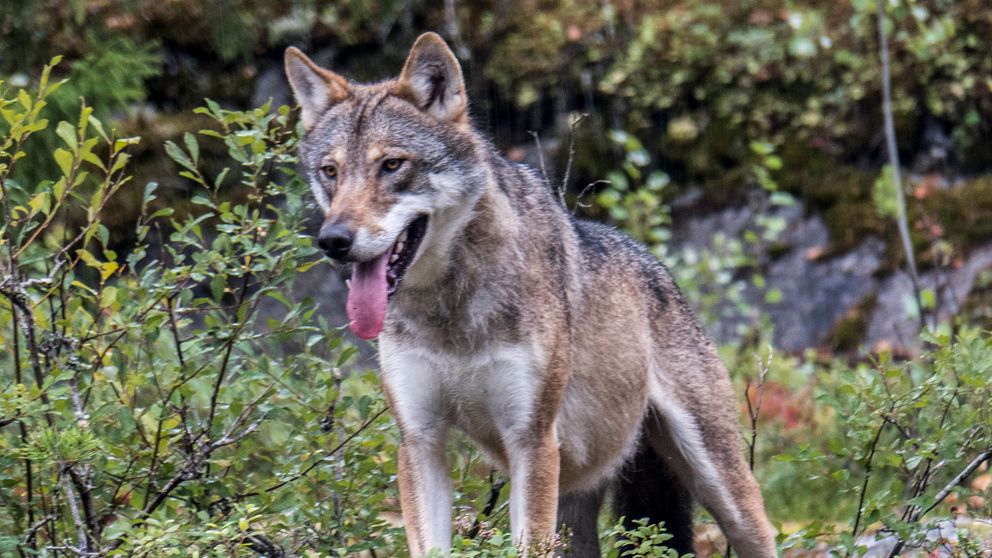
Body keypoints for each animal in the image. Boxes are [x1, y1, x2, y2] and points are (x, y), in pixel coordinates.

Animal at [282, 32, 780, 556]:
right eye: (330, 172)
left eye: (392, 165)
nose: (333, 240)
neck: (450, 313)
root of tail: (658, 267)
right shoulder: (420, 441)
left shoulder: (532, 441)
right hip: (576, 511)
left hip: (722, 487)